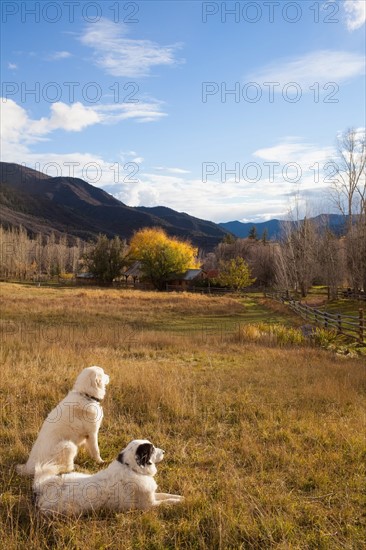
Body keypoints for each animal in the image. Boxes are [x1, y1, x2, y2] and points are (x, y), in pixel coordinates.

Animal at [33, 440, 184, 516]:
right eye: (152, 449)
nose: (164, 451)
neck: (132, 468)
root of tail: (43, 488)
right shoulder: (149, 505)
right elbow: (168, 501)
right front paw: (179, 502)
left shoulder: (152, 495)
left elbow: (167, 495)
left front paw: (182, 497)